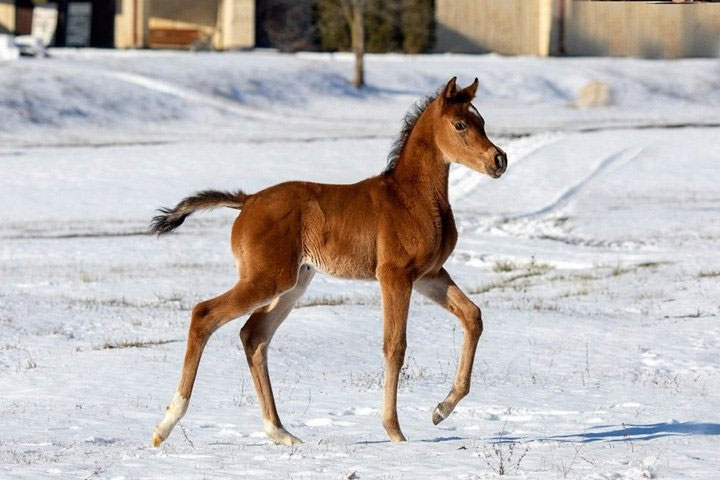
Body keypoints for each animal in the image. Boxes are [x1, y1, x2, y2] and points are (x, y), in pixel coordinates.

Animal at [150, 76, 506, 446]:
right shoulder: (395, 275)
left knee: (254, 335)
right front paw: (394, 431)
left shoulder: (429, 275)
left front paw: (440, 410)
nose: (499, 159)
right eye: (460, 124)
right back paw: (165, 426)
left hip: (294, 282)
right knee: (204, 314)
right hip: (268, 279)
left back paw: (281, 433)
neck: (413, 197)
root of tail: (247, 201)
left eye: (482, 121)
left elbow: (473, 316)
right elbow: (395, 346)